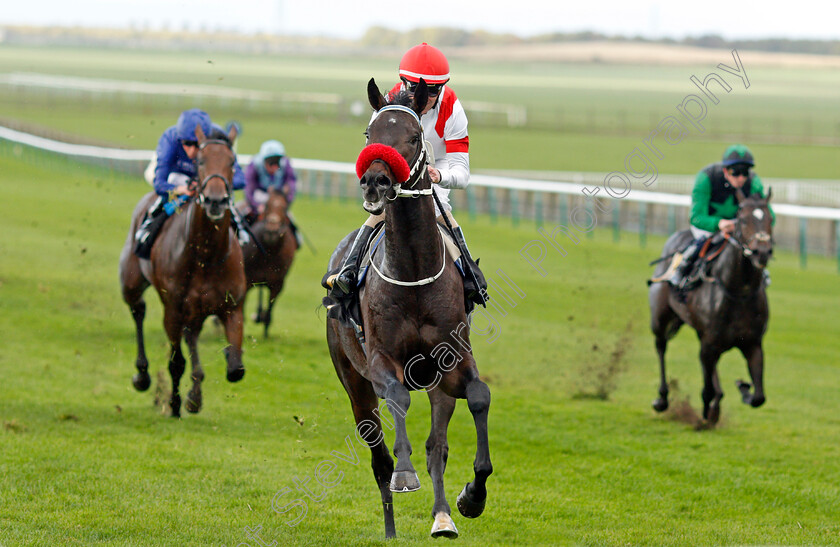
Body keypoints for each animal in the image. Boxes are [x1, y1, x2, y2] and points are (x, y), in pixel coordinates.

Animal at [120, 123, 248, 416]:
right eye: (200, 161)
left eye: (232, 162)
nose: (215, 200)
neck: (206, 256)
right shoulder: (173, 310)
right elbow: (176, 362)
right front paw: (176, 403)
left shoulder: (232, 306)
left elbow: (236, 368)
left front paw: (194, 394)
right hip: (131, 281)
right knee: (138, 310)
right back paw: (142, 375)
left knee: (192, 336)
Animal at [241, 188, 296, 338]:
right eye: (266, 205)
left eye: (284, 207)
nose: (272, 230)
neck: (269, 252)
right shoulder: (247, 279)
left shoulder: (277, 283)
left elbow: (270, 305)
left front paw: (265, 330)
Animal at [324, 79, 488, 540]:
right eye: (369, 133)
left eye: (413, 137)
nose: (375, 182)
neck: (414, 270)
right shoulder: (381, 361)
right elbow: (397, 398)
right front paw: (405, 474)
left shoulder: (453, 362)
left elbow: (479, 397)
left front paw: (472, 497)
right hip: (353, 381)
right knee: (378, 457)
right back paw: (390, 529)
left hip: (435, 384)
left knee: (438, 446)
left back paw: (443, 516)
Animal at [648, 191, 776, 426]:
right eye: (743, 219)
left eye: (770, 219)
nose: (761, 252)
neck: (738, 292)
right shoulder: (708, 344)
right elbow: (706, 391)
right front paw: (707, 414)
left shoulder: (752, 343)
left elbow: (758, 397)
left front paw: (743, 387)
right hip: (661, 319)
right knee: (661, 347)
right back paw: (662, 399)